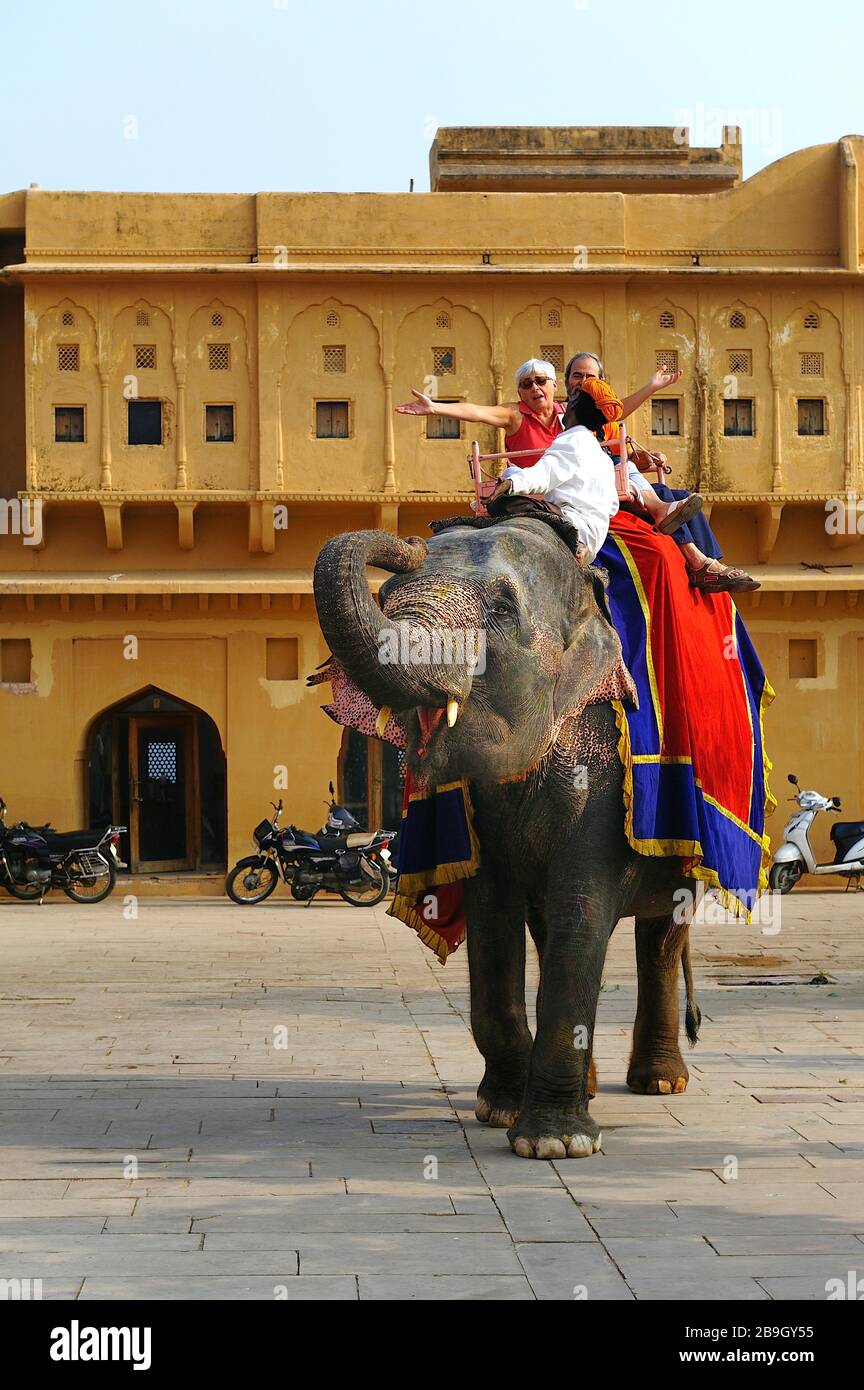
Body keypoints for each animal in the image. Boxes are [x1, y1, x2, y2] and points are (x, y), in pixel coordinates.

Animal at [313, 515, 702, 1159]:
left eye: (500, 608)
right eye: (387, 598)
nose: (408, 543)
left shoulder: (604, 772)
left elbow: (583, 904)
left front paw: (555, 1144)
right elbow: (492, 914)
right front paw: (500, 1110)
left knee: (663, 933)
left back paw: (660, 1083)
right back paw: (594, 1086)